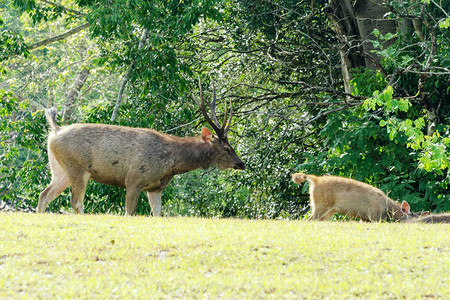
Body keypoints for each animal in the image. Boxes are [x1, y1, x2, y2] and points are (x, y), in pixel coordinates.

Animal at [37, 79, 244, 216]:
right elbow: (129, 213)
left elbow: (158, 215)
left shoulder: (155, 188)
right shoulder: (134, 179)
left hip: (59, 170)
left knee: (44, 195)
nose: (241, 164)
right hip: (77, 166)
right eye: (227, 148)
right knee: (76, 202)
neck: (171, 164)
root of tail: (55, 131)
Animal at [290, 172, 424, 221]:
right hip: (321, 205)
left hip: (329, 210)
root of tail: (315, 179)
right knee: (309, 220)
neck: (387, 208)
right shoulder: (374, 216)